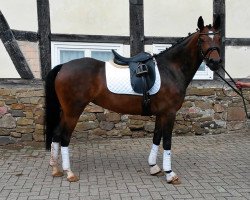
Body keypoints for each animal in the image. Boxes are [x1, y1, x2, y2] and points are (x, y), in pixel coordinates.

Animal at [44, 16, 221, 184]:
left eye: (219, 38)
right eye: (202, 40)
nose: (215, 62)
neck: (170, 69)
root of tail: (63, 67)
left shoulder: (161, 114)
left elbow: (156, 138)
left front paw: (154, 167)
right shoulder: (169, 113)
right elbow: (167, 142)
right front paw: (170, 174)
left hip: (66, 111)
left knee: (57, 134)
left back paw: (55, 169)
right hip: (73, 111)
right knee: (65, 137)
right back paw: (69, 173)